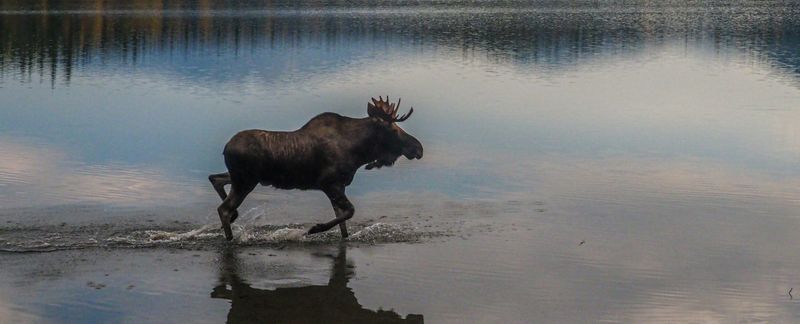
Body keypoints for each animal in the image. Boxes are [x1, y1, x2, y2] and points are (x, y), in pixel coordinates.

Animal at [208, 96, 424, 240]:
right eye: (393, 129)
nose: (418, 148)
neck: (359, 153)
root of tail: (225, 148)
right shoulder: (329, 183)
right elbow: (350, 212)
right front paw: (315, 228)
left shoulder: (339, 186)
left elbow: (343, 223)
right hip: (245, 181)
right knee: (223, 208)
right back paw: (230, 236)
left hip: (242, 178)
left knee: (215, 179)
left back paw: (234, 217)